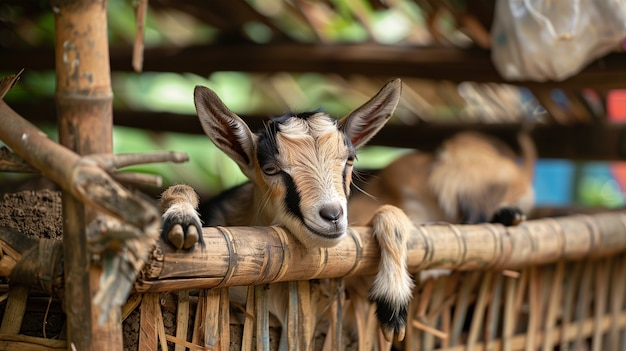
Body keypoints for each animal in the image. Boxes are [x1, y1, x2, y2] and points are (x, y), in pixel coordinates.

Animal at [160, 79, 414, 346]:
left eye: (350, 159)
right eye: (271, 169)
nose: (333, 215)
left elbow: (390, 212)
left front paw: (394, 306)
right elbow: (180, 190)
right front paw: (182, 221)